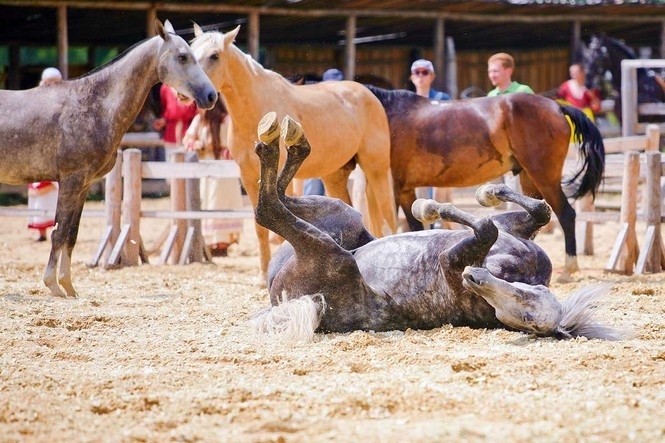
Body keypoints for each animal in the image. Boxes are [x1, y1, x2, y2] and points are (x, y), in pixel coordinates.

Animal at [0, 20, 217, 298]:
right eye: (182, 56)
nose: (211, 96)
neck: (94, 105)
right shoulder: (71, 181)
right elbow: (59, 233)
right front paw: (53, 285)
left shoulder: (83, 184)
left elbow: (71, 234)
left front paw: (68, 286)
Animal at [187, 24, 394, 280]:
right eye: (189, 52)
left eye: (214, 55)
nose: (194, 94)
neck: (255, 107)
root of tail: (368, 94)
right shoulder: (247, 175)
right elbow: (260, 228)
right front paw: (263, 272)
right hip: (335, 176)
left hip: (376, 169)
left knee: (388, 213)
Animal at [248, 112, 624, 342]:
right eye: (527, 302)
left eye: (526, 316)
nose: (474, 278)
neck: (513, 270)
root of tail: (281, 304)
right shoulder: (515, 229)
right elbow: (535, 212)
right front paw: (485, 193)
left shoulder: (450, 260)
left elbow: (485, 226)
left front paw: (430, 206)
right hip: (345, 216)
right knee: (279, 194)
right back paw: (289, 136)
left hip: (332, 255)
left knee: (267, 209)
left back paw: (272, 141)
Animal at [366, 86, 604, 280]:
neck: (385, 114)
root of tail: (555, 106)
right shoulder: (405, 189)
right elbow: (414, 227)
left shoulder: (393, 186)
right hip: (529, 177)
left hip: (544, 176)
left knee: (565, 214)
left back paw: (569, 268)